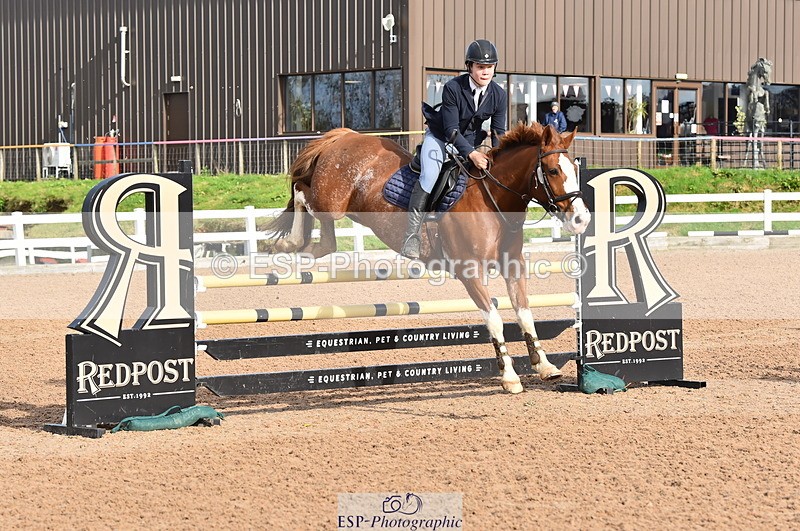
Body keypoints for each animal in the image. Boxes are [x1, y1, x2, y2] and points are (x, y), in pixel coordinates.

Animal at [266, 122, 591, 393]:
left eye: (575, 170)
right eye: (552, 171)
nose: (581, 220)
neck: (493, 198)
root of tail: (345, 135)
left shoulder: (513, 266)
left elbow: (524, 313)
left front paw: (544, 366)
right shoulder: (470, 271)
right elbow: (495, 320)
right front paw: (509, 377)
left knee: (325, 238)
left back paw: (304, 247)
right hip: (329, 201)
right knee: (300, 191)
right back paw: (288, 242)